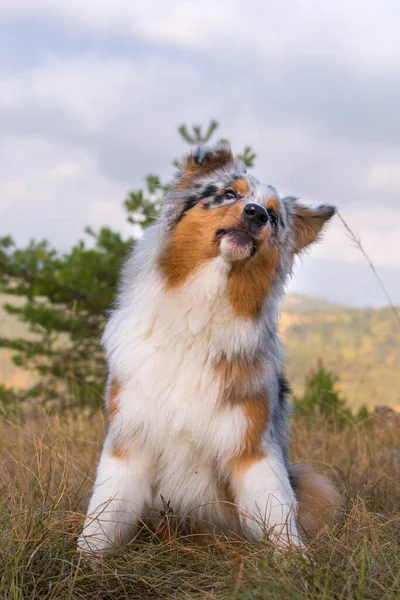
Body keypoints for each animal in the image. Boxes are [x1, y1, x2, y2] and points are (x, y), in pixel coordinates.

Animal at [76, 142, 340, 552]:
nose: (256, 213)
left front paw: (296, 561)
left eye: (274, 216)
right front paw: (85, 560)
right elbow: (103, 515)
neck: (200, 312)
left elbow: (277, 515)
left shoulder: (252, 443)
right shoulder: (129, 434)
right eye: (229, 193)